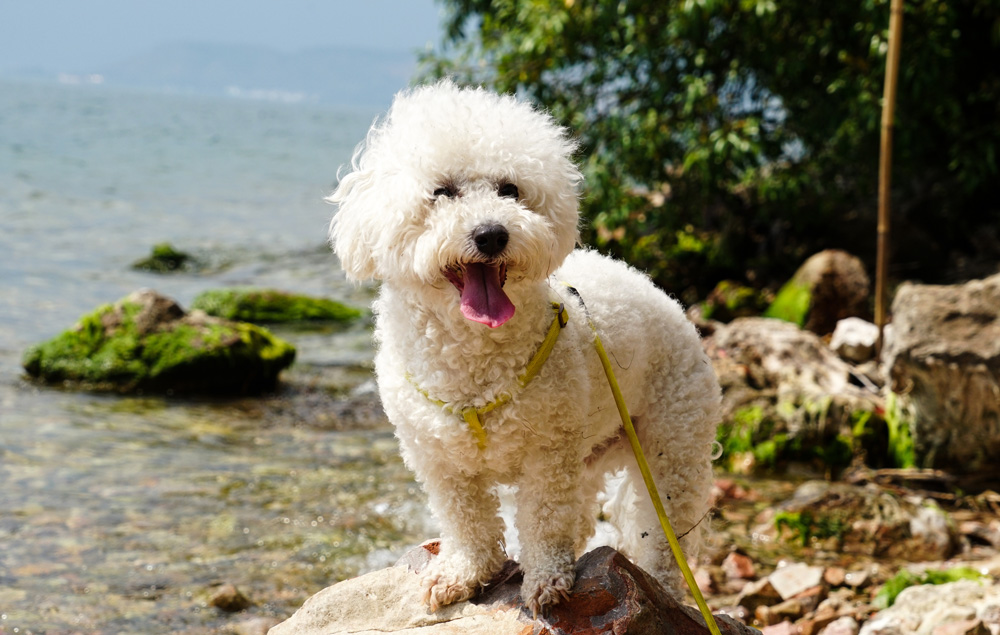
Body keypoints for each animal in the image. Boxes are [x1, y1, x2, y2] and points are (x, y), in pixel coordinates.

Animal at [332, 80, 724, 616]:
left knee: (664, 526)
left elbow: (543, 519)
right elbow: (467, 522)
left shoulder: (548, 454)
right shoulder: (439, 460)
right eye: (442, 192)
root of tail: (674, 304)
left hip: (671, 440)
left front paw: (545, 581)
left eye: (510, 190)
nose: (491, 234)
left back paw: (662, 584)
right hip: (591, 451)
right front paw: (463, 573)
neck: (474, 358)